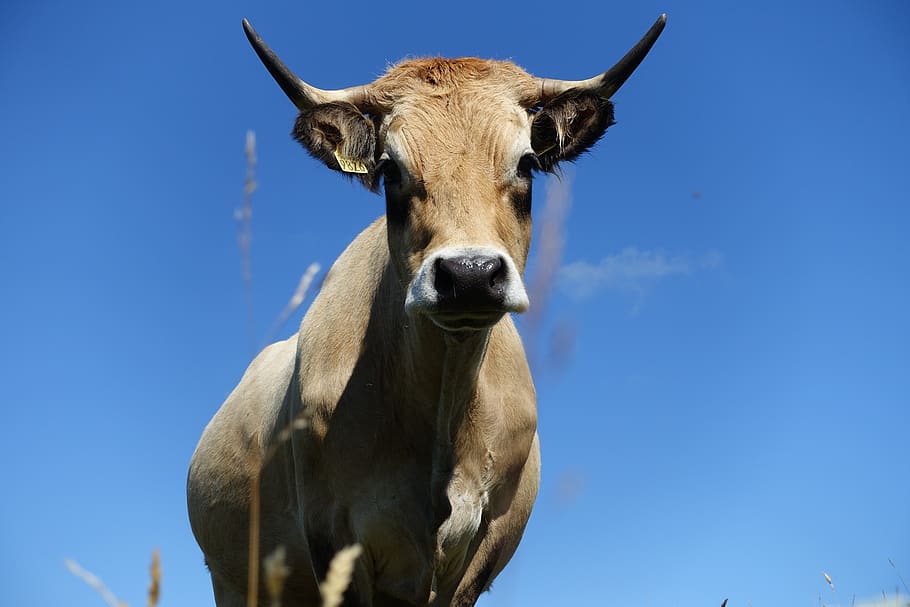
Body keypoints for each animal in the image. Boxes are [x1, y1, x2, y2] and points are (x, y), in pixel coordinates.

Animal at [187, 14, 665, 607]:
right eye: (390, 169)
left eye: (527, 162)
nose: (469, 275)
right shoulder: (332, 536)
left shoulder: (484, 550)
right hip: (235, 581)